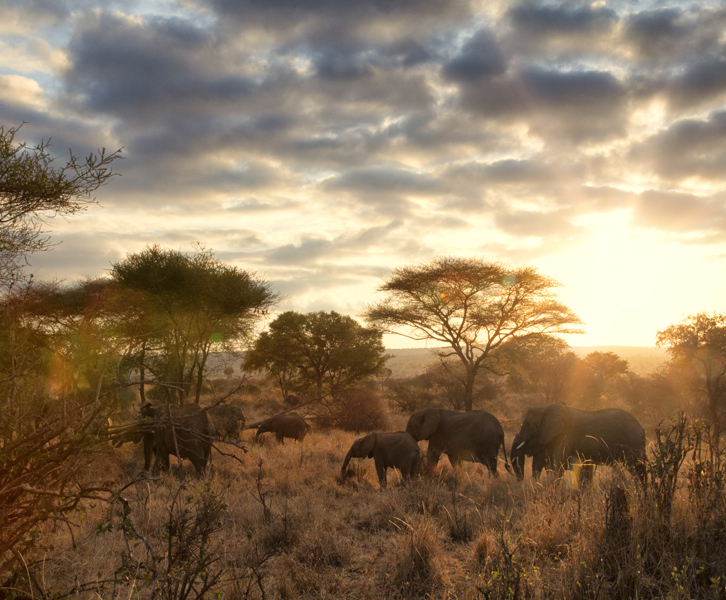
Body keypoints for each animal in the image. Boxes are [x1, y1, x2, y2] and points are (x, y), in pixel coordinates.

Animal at [513, 403, 646, 484]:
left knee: (635, 467)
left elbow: (558, 463)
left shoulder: (566, 434)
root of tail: (641, 428)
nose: (520, 481)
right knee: (639, 468)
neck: (544, 408)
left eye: (527, 424)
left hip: (632, 442)